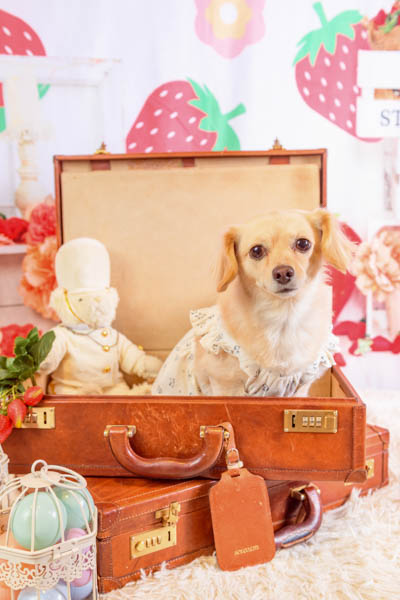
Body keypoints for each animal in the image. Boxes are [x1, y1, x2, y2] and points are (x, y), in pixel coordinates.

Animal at [152, 209, 355, 397]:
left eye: (303, 243)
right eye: (256, 251)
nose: (283, 273)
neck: (283, 318)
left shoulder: (300, 387)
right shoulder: (226, 386)